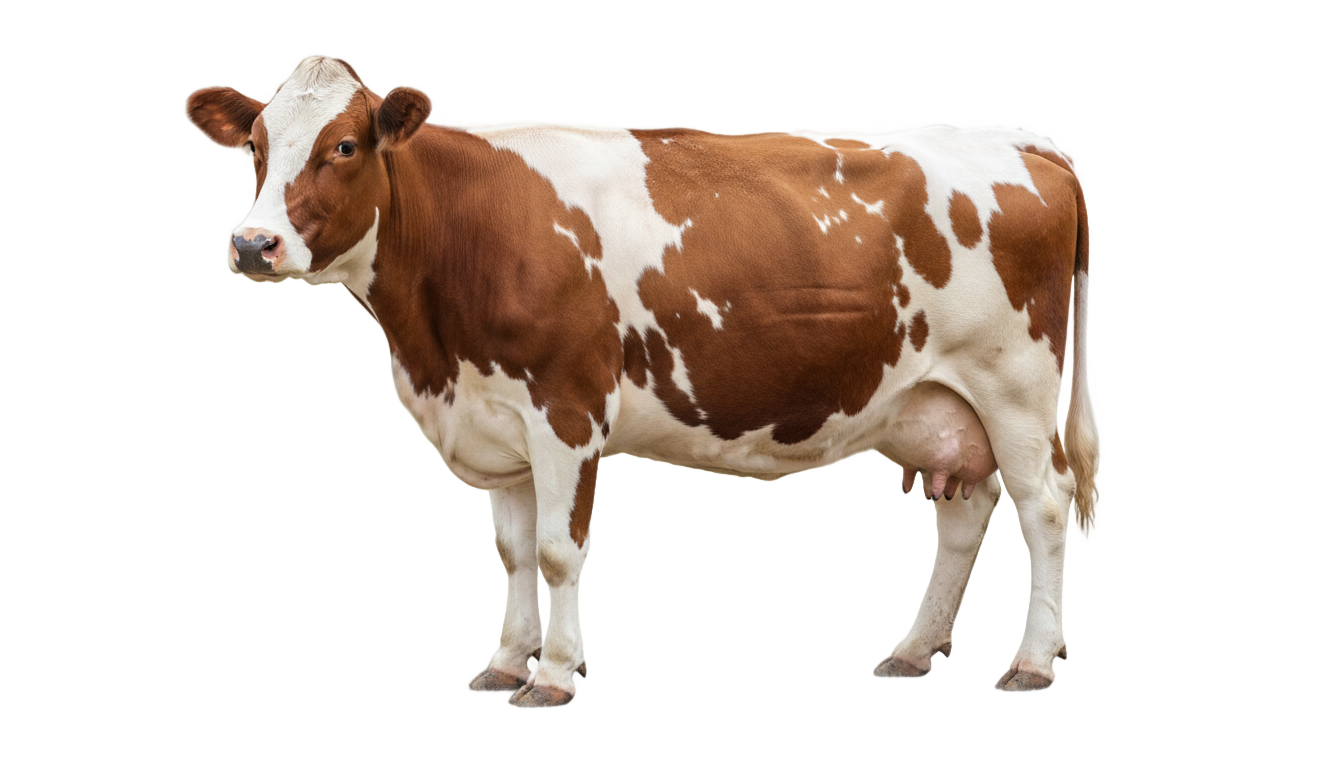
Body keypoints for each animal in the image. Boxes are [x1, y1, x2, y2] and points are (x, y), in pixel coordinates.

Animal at [186, 55, 1097, 707]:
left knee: (1046, 515)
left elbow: (556, 552)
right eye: (255, 147)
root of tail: (1027, 145)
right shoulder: (498, 422)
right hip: (942, 405)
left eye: (343, 146)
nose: (253, 244)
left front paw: (553, 678)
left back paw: (1035, 665)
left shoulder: (567, 408)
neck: (434, 351)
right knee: (965, 520)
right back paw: (915, 651)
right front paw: (504, 664)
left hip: (1018, 392)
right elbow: (510, 555)